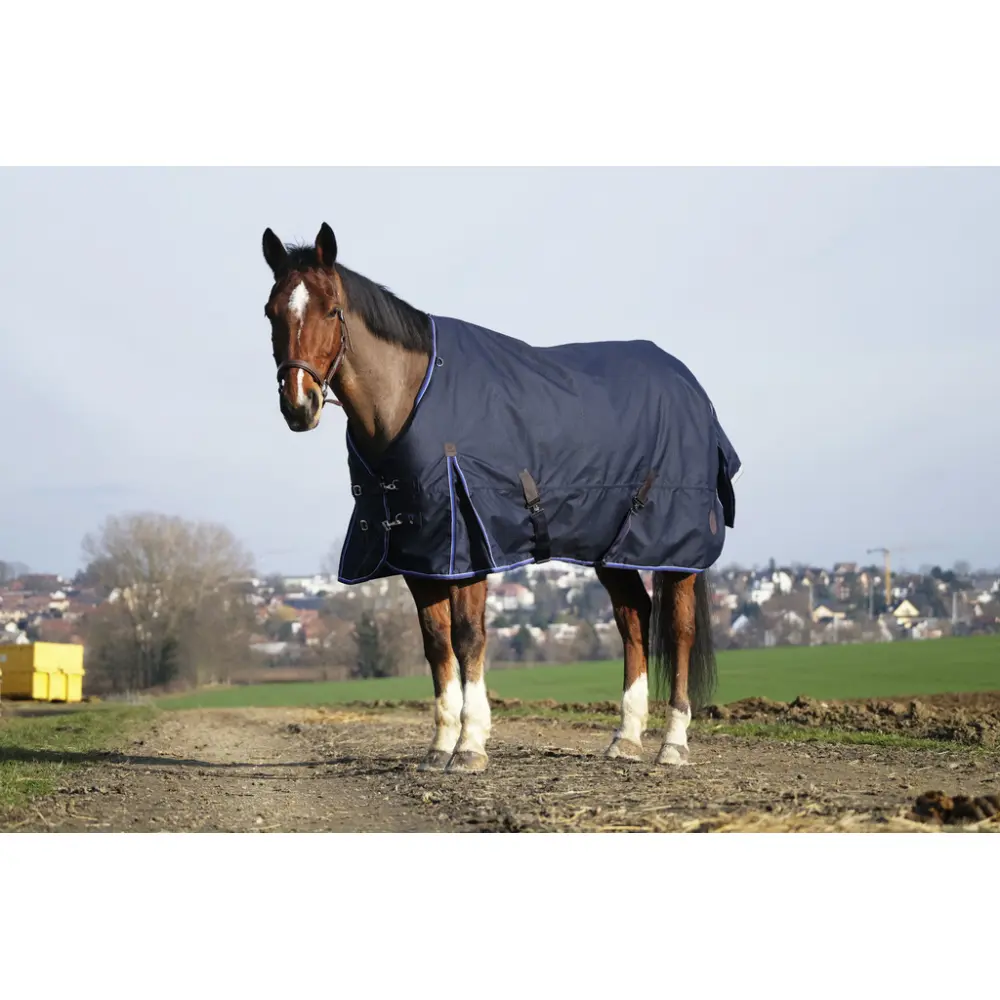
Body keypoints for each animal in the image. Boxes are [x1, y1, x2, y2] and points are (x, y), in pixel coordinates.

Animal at [261, 222, 741, 773]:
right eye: (272, 311)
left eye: (331, 309)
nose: (299, 404)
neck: (413, 396)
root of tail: (691, 387)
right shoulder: (421, 554)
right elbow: (436, 644)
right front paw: (440, 746)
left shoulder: (469, 546)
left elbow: (469, 637)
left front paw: (470, 745)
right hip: (612, 549)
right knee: (633, 620)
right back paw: (625, 737)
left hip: (673, 547)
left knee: (678, 630)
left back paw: (673, 743)